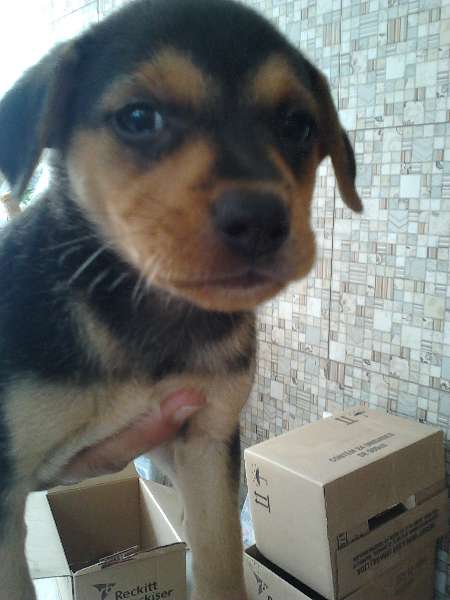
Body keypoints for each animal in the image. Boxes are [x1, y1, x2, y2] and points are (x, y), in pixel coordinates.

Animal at [0, 1, 362, 598]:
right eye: (137, 117)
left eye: (297, 125)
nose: (261, 221)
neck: (150, 308)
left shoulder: (207, 440)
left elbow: (218, 563)